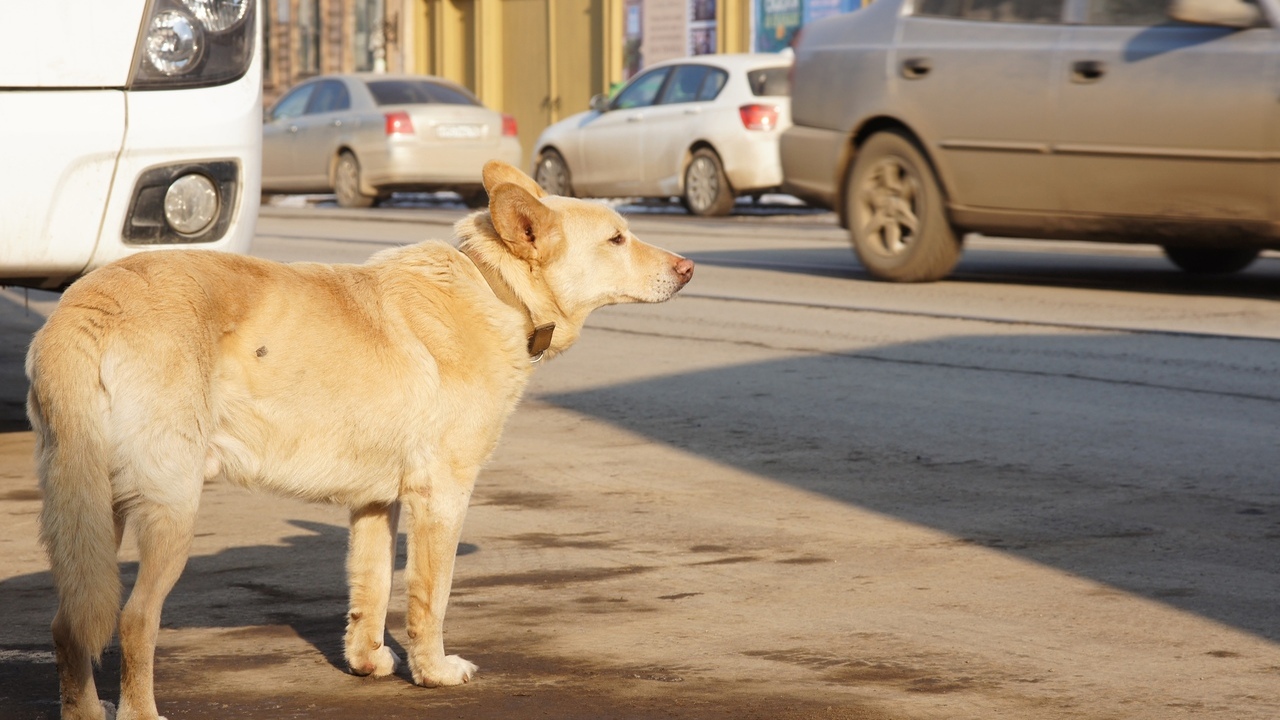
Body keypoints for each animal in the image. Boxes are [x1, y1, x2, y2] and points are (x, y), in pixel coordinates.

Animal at [24, 161, 696, 717]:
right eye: (617, 239)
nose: (690, 269)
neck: (493, 287)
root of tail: (84, 309)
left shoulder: (374, 503)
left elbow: (371, 586)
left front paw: (368, 662)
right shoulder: (442, 497)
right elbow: (430, 596)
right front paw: (433, 672)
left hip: (94, 512)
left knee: (67, 623)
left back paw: (82, 711)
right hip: (170, 510)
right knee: (134, 621)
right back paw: (141, 712)